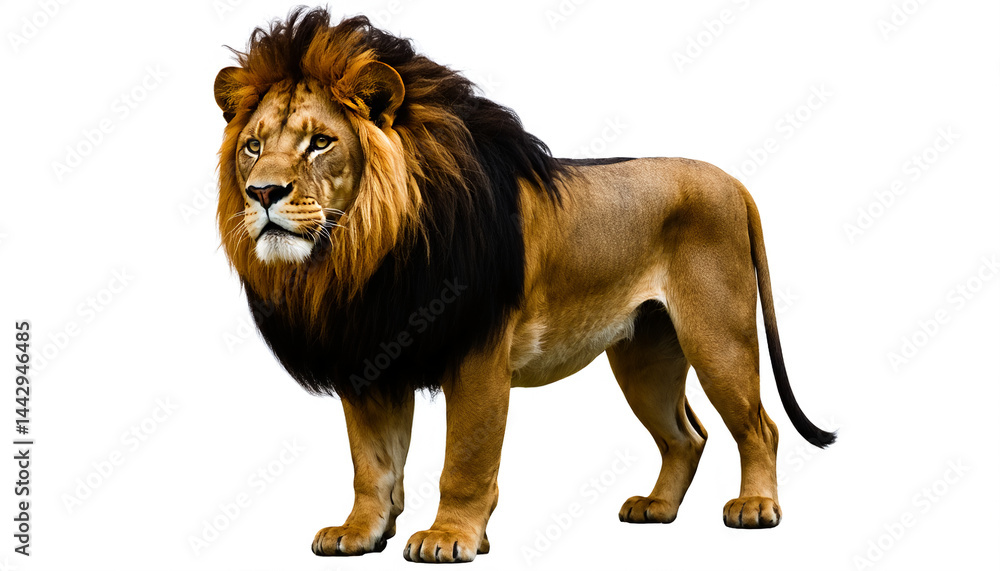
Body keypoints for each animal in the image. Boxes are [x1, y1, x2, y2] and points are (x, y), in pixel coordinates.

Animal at [213, 8, 836, 563]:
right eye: (252, 146)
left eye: (320, 142)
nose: (262, 193)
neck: (362, 255)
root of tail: (731, 180)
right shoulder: (370, 359)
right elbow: (372, 465)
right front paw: (359, 532)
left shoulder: (477, 355)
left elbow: (465, 460)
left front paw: (449, 538)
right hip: (645, 356)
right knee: (688, 436)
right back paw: (656, 508)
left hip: (717, 336)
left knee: (759, 427)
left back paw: (755, 507)